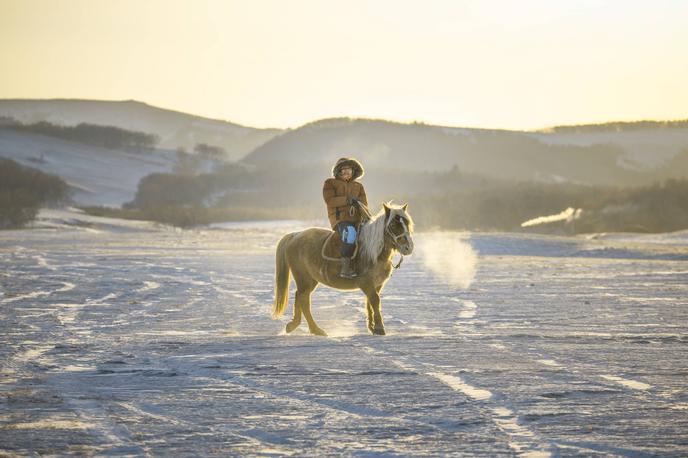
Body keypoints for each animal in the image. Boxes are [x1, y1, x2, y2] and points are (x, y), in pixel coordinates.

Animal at [272, 203, 414, 336]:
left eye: (407, 223)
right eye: (393, 225)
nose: (408, 248)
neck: (373, 252)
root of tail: (295, 235)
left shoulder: (377, 284)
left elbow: (370, 302)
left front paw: (372, 327)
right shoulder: (366, 282)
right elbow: (375, 301)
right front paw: (379, 328)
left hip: (311, 280)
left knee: (299, 296)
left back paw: (294, 325)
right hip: (303, 278)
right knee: (304, 300)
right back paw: (316, 329)